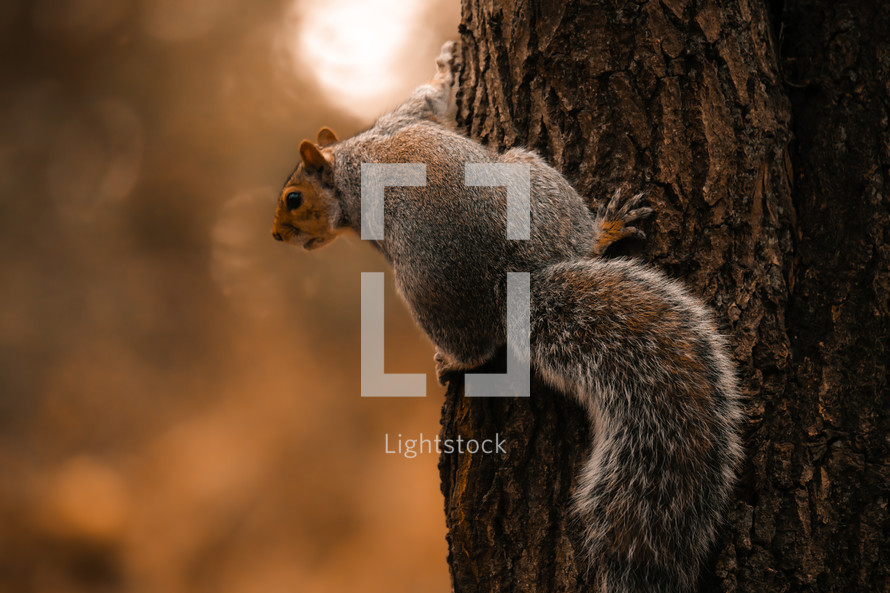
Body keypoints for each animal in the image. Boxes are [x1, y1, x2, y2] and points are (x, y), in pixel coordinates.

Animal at [270, 40, 744, 592]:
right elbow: (432, 102)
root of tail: (513, 281)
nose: (276, 236)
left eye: (293, 199)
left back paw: (458, 357)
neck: (349, 159)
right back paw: (606, 231)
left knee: (477, 347)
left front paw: (446, 66)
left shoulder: (396, 121)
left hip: (428, 283)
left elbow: (427, 98)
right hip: (534, 182)